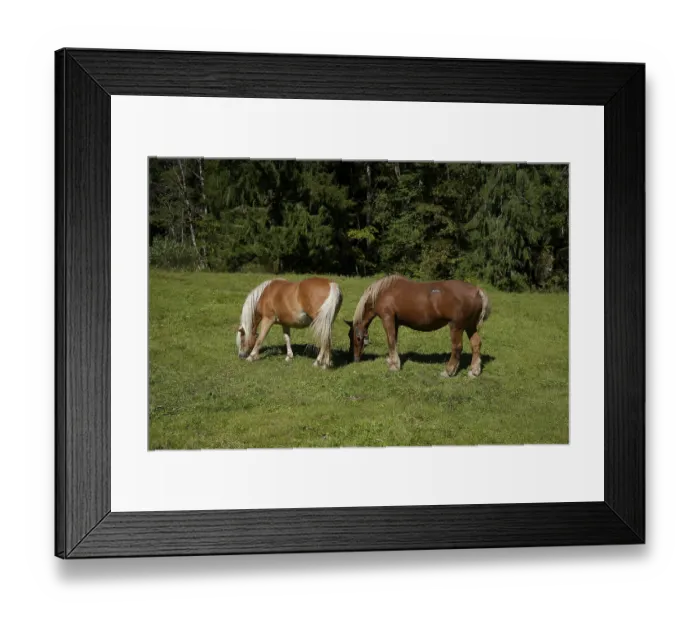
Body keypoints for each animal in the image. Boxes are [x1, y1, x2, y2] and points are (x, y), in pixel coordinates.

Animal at [345, 274, 491, 378]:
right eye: (349, 337)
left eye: (357, 338)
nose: (354, 359)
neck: (383, 292)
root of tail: (477, 290)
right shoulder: (395, 322)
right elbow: (394, 341)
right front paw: (392, 361)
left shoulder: (388, 318)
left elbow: (390, 340)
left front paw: (394, 366)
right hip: (470, 326)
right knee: (476, 344)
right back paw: (474, 371)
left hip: (456, 326)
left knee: (457, 347)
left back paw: (448, 371)